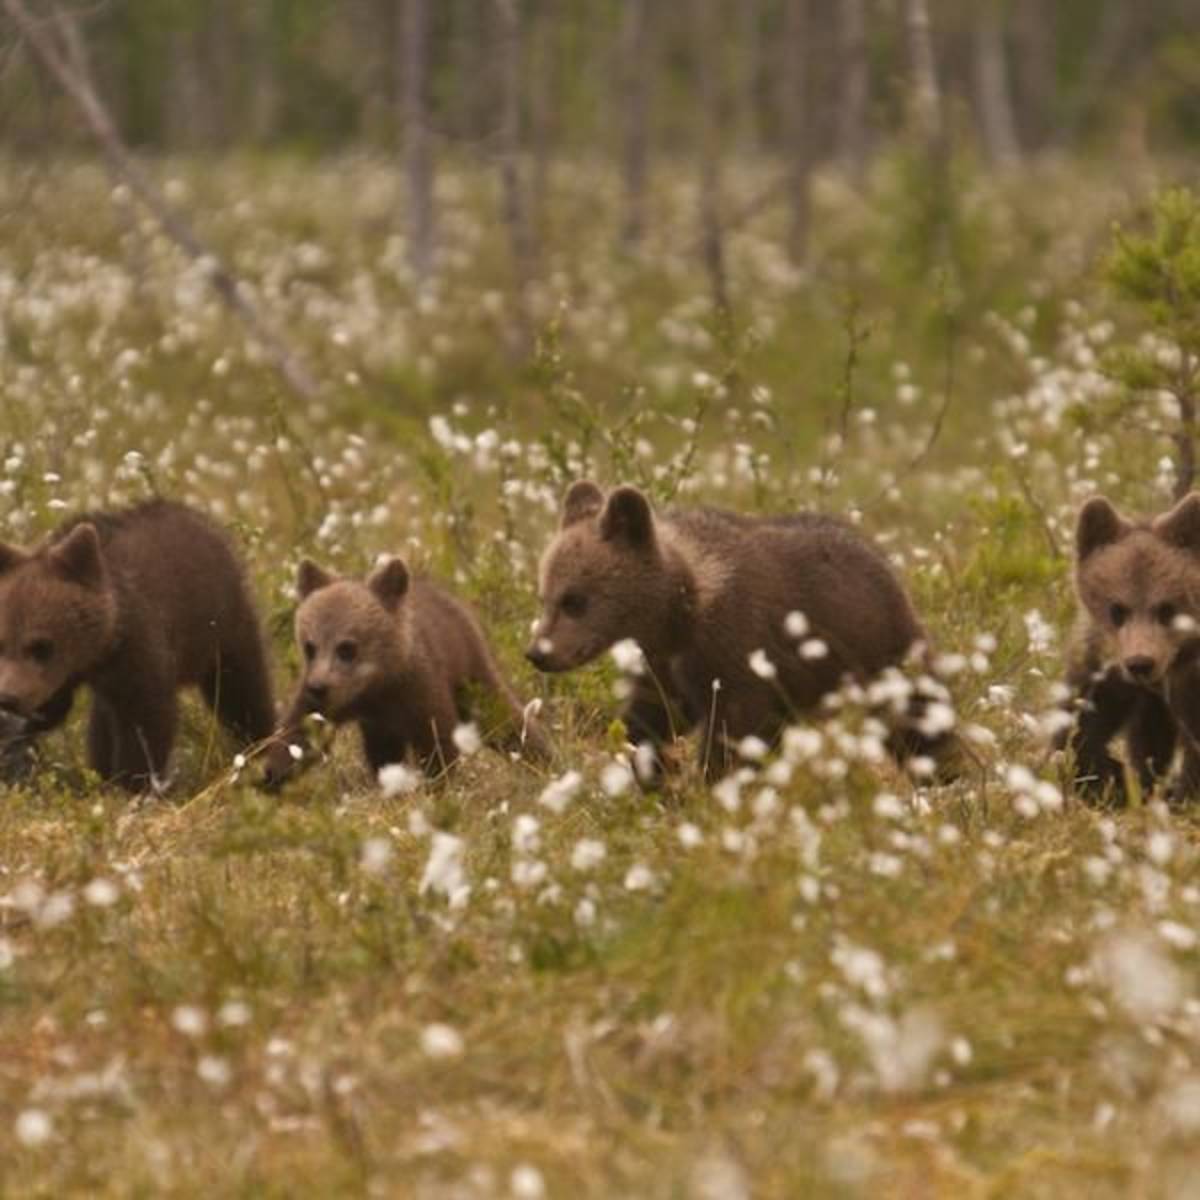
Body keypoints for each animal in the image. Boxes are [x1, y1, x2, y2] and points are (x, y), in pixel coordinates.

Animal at [0, 500, 275, 792]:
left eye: (41, 646)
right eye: (1, 643)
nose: (9, 698)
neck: (99, 649)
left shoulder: (139, 645)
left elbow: (147, 718)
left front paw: (132, 783)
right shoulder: (72, 675)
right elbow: (57, 707)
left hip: (222, 625)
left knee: (243, 689)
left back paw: (260, 745)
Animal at [262, 555, 551, 788]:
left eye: (346, 648)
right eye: (309, 646)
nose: (318, 686)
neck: (376, 686)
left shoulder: (419, 688)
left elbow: (438, 741)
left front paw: (438, 785)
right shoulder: (342, 704)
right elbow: (297, 734)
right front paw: (270, 774)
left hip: (470, 668)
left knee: (503, 715)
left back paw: (543, 758)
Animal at [527, 480, 956, 782]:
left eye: (574, 600)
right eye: (544, 595)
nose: (538, 653)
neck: (679, 615)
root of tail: (886, 564)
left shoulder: (735, 650)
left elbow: (733, 730)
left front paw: (709, 783)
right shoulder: (663, 664)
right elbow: (652, 716)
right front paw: (653, 772)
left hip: (879, 653)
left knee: (919, 717)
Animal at [1058, 491, 1200, 805]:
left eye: (1167, 609)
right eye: (1117, 609)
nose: (1140, 663)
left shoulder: (1188, 678)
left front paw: (1179, 796)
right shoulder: (1105, 665)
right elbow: (1081, 727)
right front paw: (1110, 781)